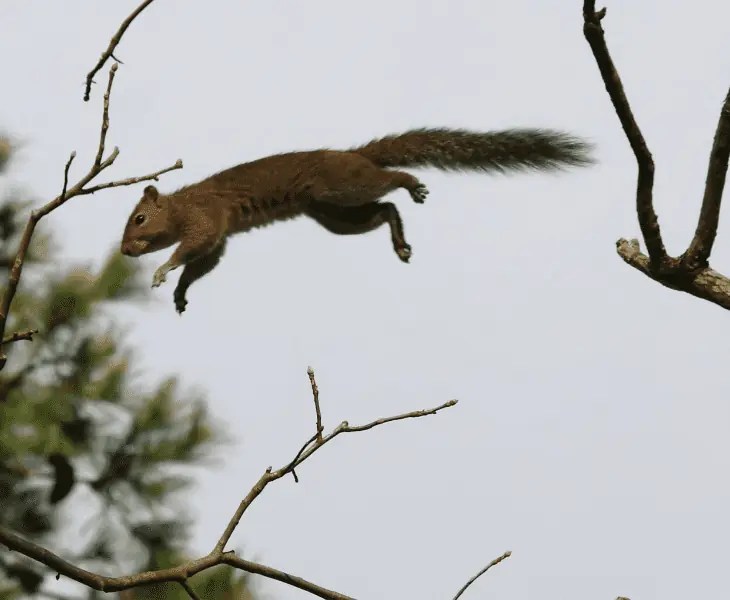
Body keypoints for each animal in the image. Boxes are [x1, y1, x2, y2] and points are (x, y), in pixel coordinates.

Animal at [120, 127, 594, 314]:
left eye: (139, 218)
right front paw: (180, 291)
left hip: (341, 189)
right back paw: (399, 240)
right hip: (334, 214)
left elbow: (191, 248)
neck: (179, 206)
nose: (124, 251)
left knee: (389, 182)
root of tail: (357, 155)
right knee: (384, 210)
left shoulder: (205, 219)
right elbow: (202, 263)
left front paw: (162, 271)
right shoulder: (218, 237)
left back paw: (410, 182)